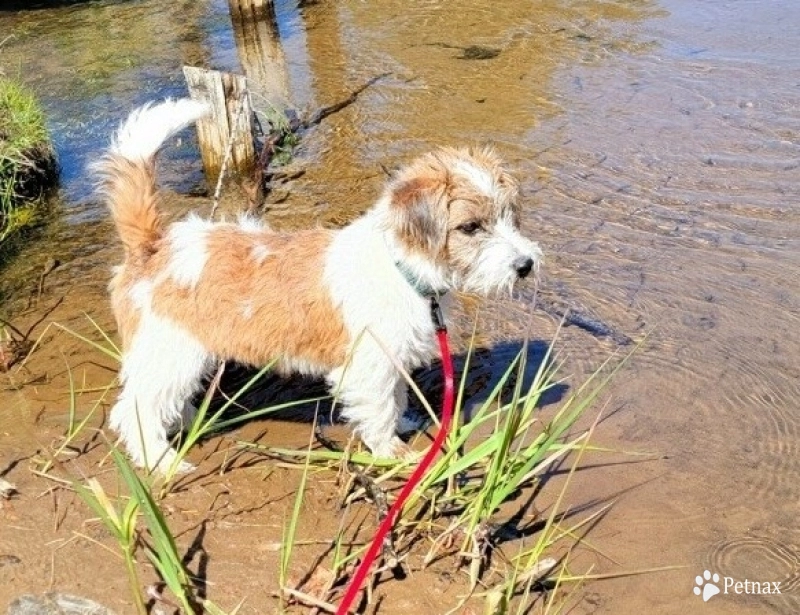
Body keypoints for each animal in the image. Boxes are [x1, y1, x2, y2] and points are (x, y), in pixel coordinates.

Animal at [95, 98, 544, 472]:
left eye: (509, 217)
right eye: (471, 227)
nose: (526, 265)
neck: (401, 266)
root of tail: (154, 245)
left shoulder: (392, 356)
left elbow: (397, 396)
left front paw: (405, 421)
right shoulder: (369, 363)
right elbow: (380, 406)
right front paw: (392, 451)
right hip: (169, 351)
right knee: (134, 410)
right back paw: (161, 461)